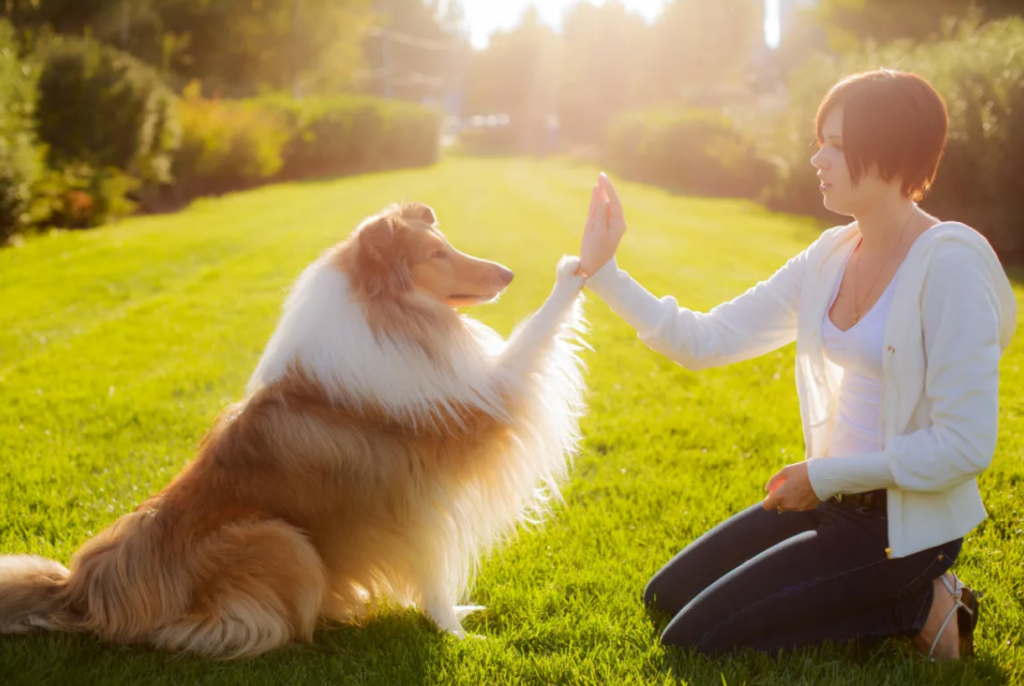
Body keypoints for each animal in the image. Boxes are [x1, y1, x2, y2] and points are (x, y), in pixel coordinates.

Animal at [0, 204, 589, 659]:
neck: (386, 316)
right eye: (436, 255)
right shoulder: (473, 422)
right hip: (280, 538)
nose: (508, 275)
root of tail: (79, 589)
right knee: (197, 633)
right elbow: (535, 334)